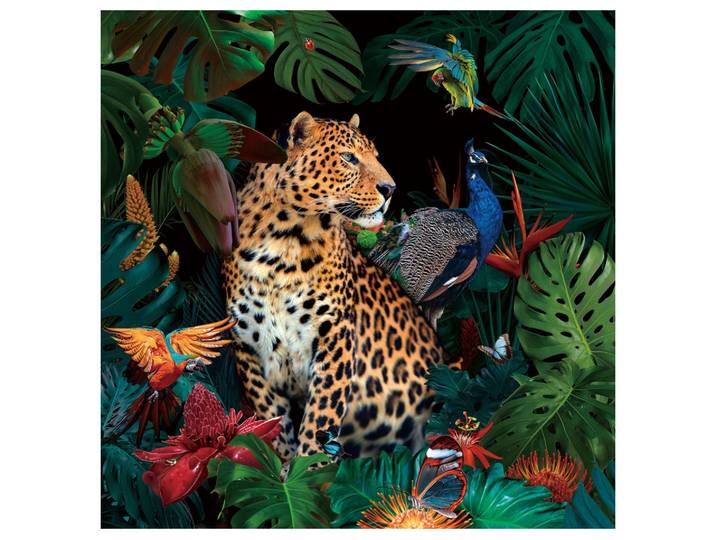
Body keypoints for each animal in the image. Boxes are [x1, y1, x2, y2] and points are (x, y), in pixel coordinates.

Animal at [223, 111, 450, 460]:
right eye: (348, 157)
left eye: (376, 156)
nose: (390, 188)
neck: (282, 242)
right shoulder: (247, 346)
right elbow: (272, 418)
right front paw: (283, 465)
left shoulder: (335, 338)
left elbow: (321, 416)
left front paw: (308, 466)